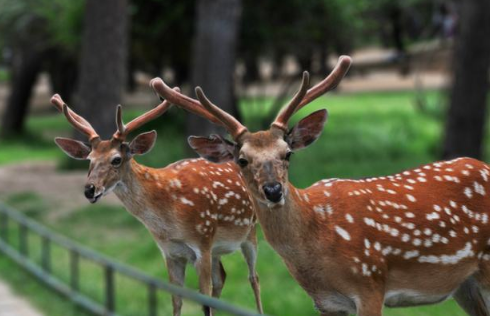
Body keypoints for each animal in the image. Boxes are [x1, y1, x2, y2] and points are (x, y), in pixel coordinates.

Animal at [50, 92, 264, 314]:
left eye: (116, 159)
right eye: (89, 160)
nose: (89, 190)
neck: (168, 222)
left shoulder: (202, 243)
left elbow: (204, 301)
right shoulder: (171, 252)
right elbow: (176, 301)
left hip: (249, 232)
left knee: (254, 277)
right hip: (217, 249)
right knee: (222, 277)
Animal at [150, 55, 490, 314]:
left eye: (287, 153)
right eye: (242, 160)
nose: (273, 191)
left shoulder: (370, 284)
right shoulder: (327, 303)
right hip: (464, 284)